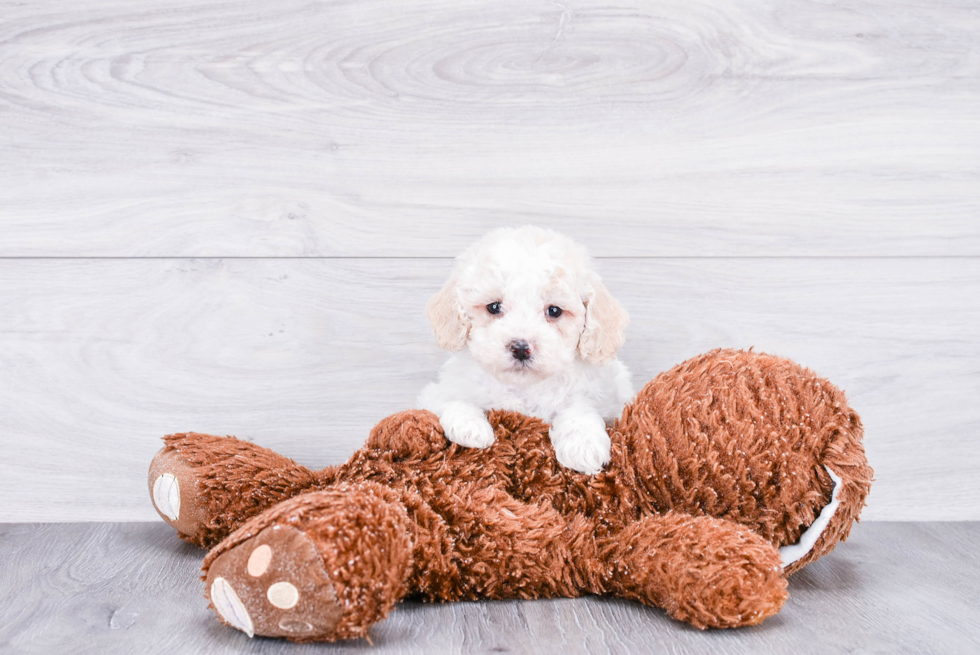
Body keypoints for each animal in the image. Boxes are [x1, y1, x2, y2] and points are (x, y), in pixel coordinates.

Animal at [416, 224, 632, 472]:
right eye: (494, 307)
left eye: (554, 311)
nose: (520, 348)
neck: (523, 388)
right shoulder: (436, 392)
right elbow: (451, 400)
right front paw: (470, 427)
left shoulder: (600, 399)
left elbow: (578, 408)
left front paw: (583, 445)